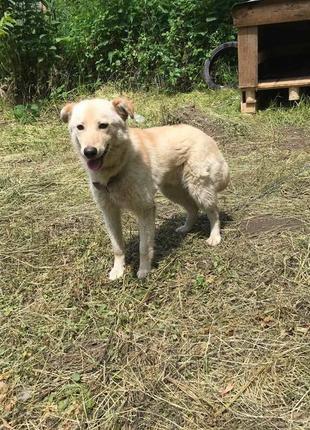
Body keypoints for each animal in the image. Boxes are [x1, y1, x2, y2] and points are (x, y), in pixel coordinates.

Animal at [61, 96, 230, 280]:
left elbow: (143, 247)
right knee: (192, 208)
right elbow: (117, 247)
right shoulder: (109, 211)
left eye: (103, 125)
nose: (89, 152)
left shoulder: (145, 209)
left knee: (213, 212)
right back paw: (186, 228)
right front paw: (118, 270)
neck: (119, 167)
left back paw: (215, 237)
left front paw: (144, 271)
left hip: (199, 188)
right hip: (171, 191)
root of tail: (204, 134)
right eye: (80, 127)